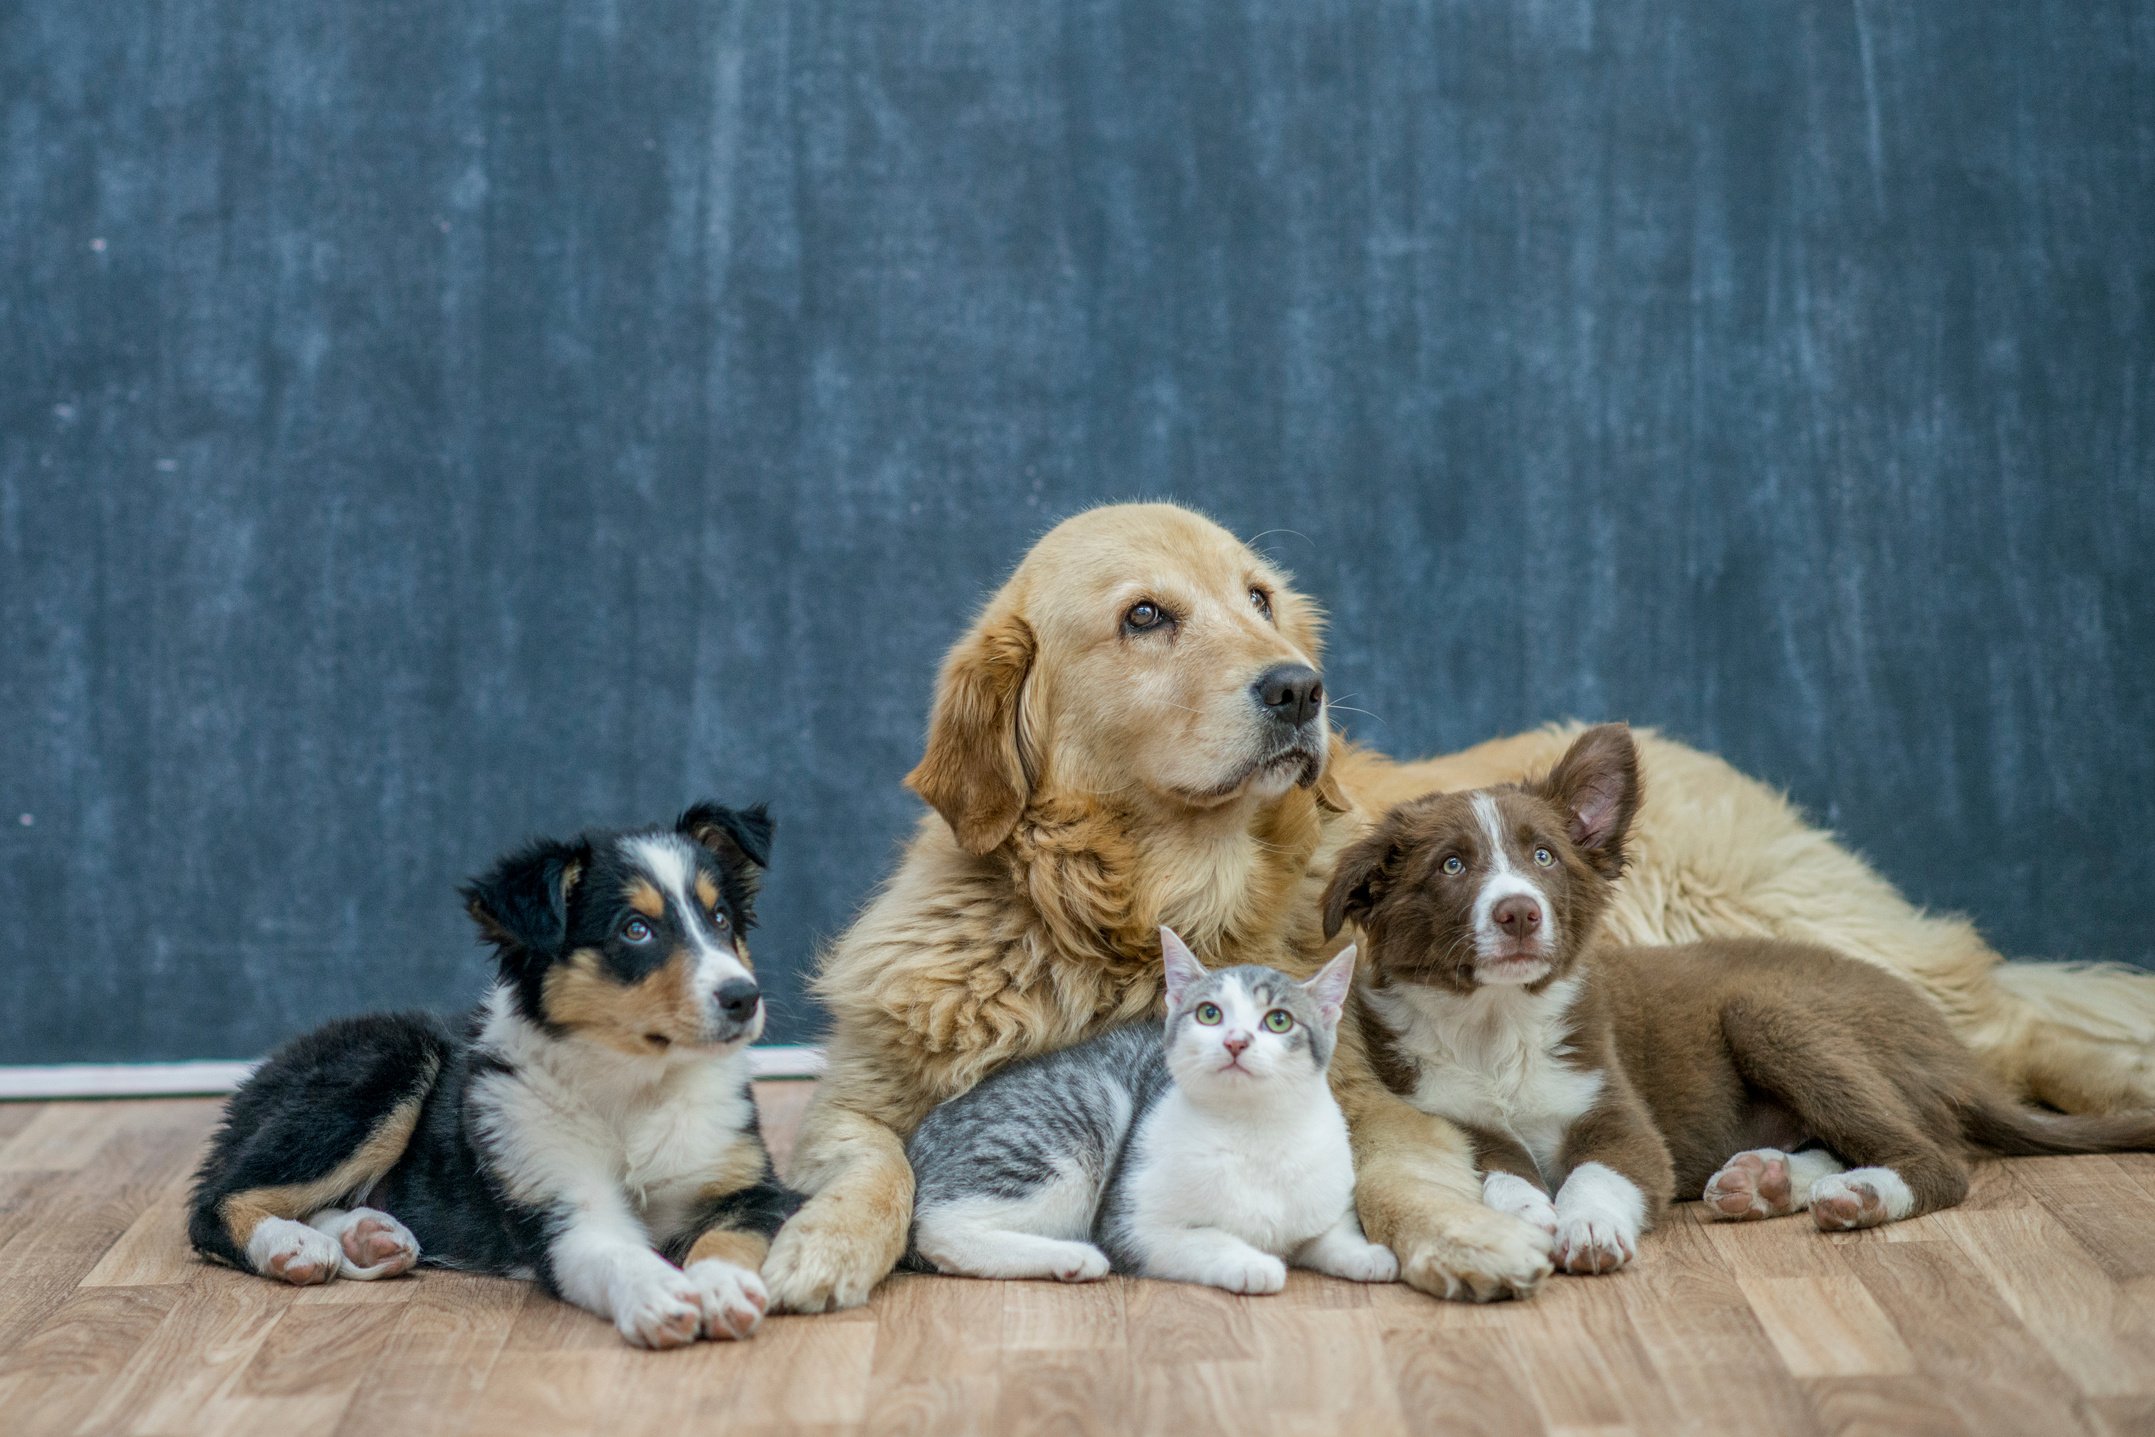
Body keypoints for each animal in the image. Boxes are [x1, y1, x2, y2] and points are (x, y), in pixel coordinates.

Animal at [189, 805, 801, 1352]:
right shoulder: (560, 1204)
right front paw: (659, 1294)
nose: (744, 998)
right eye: (635, 930)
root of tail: (264, 1069)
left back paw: (367, 1236)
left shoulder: (755, 1187)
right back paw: (292, 1244)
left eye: (720, 919)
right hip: (388, 1061)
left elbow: (727, 1235)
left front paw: (720, 1287)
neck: (636, 1083)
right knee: (211, 1203)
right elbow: (615, 1252)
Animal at [896, 926, 1387, 1301]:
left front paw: (1366, 1255)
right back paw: (1070, 1257)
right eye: (1210, 1014)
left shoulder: (1325, 1200)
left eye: (1279, 1020)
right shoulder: (1130, 1226)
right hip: (1084, 1115)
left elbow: (1332, 1234)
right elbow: (1205, 1238)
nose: (1236, 1042)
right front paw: (1251, 1263)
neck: (1253, 1131)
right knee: (940, 1228)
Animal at [1318, 723, 2155, 1275]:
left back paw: (1862, 1195)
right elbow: (1502, 1170)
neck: (1497, 1027)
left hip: (1768, 1011)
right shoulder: (1450, 1117)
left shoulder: (1622, 1120)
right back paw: (1770, 1180)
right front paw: (1526, 1215)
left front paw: (1585, 1227)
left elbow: (1598, 1171)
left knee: (1935, 1156)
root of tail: (1953, 1051)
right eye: (1451, 865)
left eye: (1544, 855)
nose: (1519, 912)